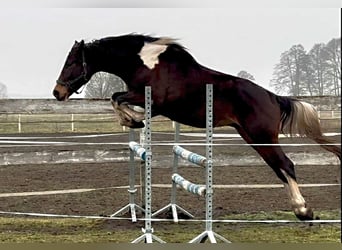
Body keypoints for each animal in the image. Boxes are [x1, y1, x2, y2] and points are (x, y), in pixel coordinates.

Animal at [52, 33, 340, 221]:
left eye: (72, 63)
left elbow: (116, 98)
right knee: (279, 168)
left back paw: (304, 211)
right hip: (252, 137)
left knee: (286, 165)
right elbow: (117, 99)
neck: (145, 63)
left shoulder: (152, 100)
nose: (57, 92)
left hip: (262, 137)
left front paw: (132, 120)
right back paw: (299, 210)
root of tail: (272, 97)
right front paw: (133, 120)